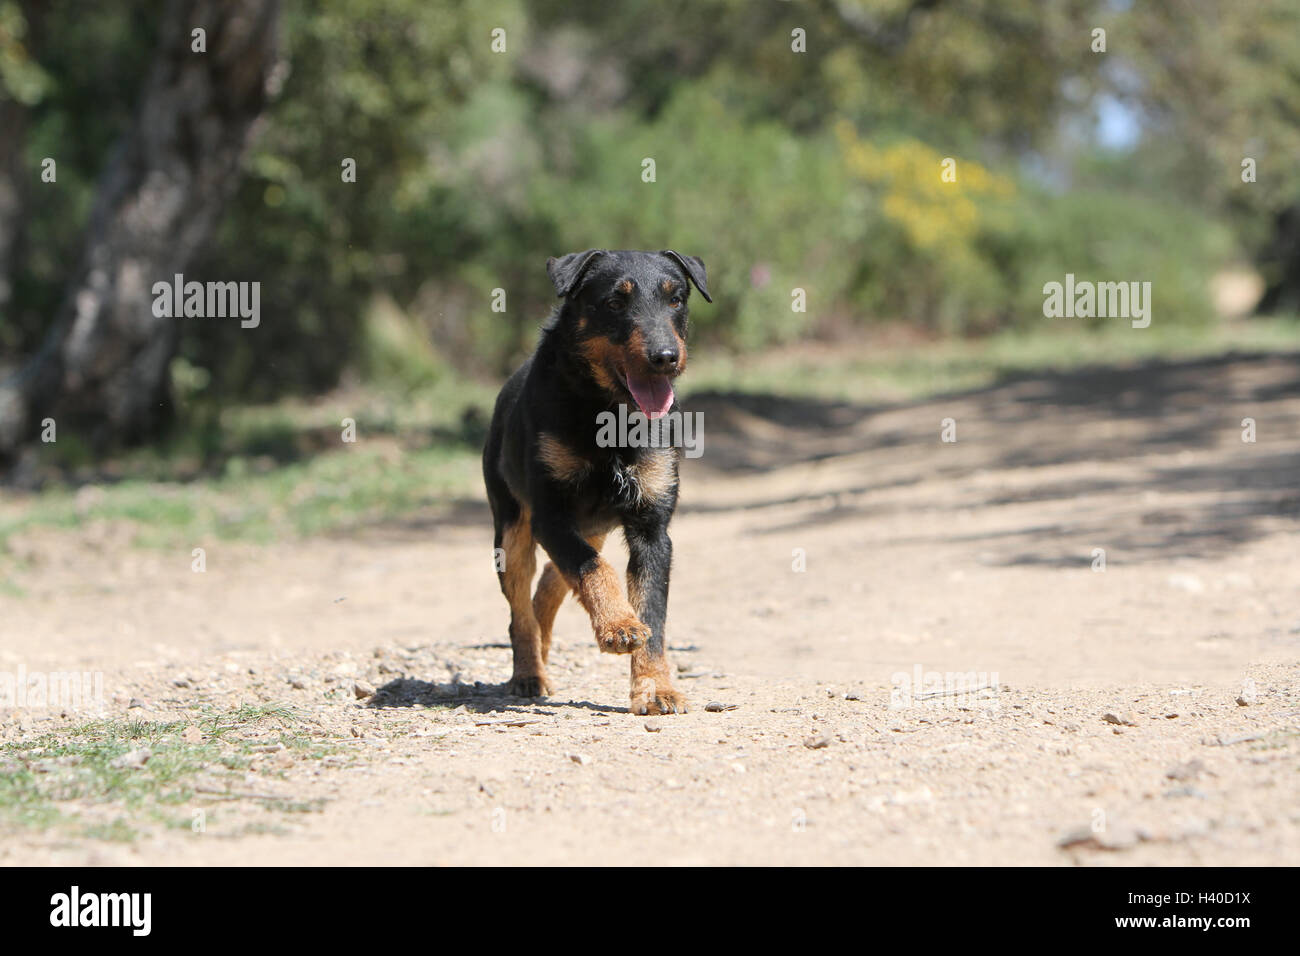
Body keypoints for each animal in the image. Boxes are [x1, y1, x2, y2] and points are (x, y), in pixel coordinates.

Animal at [483, 251, 712, 712]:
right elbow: (593, 569)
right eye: (614, 302)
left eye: (676, 298)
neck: (610, 415)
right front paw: (618, 624)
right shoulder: (551, 517)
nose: (665, 356)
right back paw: (528, 673)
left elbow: (652, 613)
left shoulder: (651, 528)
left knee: (548, 585)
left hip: (593, 527)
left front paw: (655, 688)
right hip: (513, 531)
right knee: (521, 609)